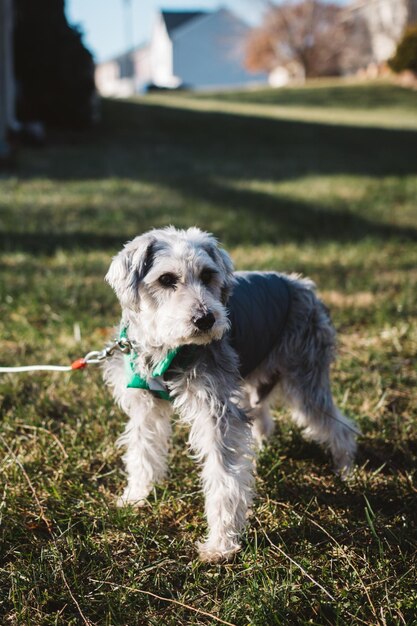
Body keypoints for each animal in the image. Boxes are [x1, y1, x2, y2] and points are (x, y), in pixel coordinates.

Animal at [103, 224, 358, 560]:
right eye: (166, 279)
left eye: (208, 275)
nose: (206, 319)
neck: (167, 348)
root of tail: (305, 287)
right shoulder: (145, 406)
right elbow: (141, 452)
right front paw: (135, 497)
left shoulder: (216, 411)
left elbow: (224, 479)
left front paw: (221, 544)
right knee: (261, 418)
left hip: (305, 380)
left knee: (338, 426)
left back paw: (345, 470)